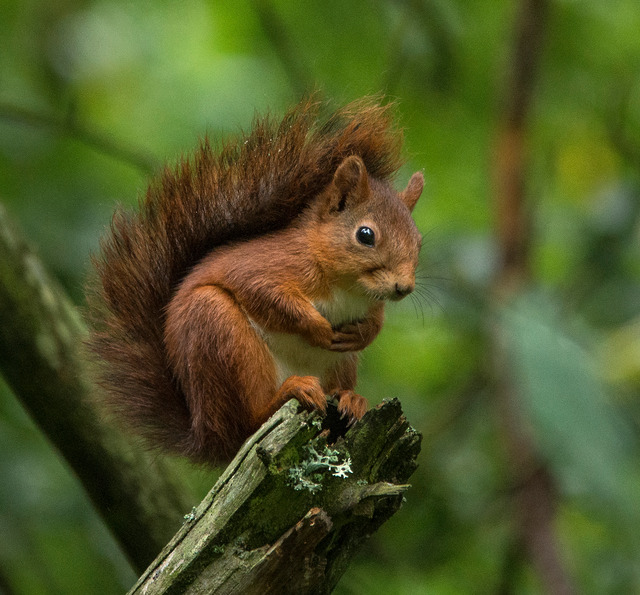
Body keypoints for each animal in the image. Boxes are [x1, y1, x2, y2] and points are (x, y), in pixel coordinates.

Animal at [87, 99, 422, 466]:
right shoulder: (263, 267)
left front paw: (358, 335)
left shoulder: (371, 304)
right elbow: (267, 296)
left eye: (419, 241)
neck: (347, 288)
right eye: (365, 235)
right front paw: (318, 328)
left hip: (339, 364)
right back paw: (286, 394)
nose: (403, 288)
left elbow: (375, 323)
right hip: (217, 330)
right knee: (249, 421)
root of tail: (207, 435)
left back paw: (351, 400)